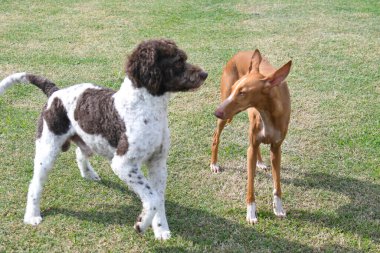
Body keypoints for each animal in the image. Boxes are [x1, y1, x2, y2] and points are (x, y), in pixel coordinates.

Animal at [0, 39, 208, 239]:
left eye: (184, 57)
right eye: (178, 61)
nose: (205, 74)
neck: (145, 108)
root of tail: (55, 93)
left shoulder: (158, 162)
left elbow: (158, 199)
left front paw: (160, 229)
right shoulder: (123, 164)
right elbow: (153, 198)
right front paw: (142, 224)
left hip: (89, 142)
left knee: (79, 153)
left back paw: (88, 173)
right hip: (47, 150)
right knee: (35, 184)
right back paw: (32, 215)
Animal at [211, 49, 290, 223]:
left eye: (242, 93)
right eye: (235, 89)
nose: (216, 112)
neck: (268, 112)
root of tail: (239, 53)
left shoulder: (276, 149)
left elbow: (277, 184)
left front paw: (279, 208)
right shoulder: (251, 149)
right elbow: (250, 184)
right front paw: (251, 213)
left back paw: (260, 162)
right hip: (225, 116)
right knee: (215, 138)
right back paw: (213, 164)